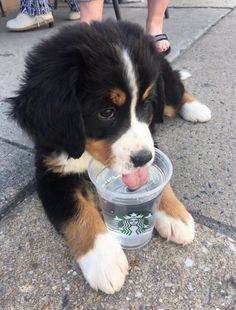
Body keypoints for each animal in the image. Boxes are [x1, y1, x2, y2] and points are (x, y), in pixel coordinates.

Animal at [8, 20, 212, 294]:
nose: (142, 158)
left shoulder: (152, 137)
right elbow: (76, 212)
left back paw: (196, 108)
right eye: (106, 112)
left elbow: (161, 181)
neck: (83, 148)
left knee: (177, 91)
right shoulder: (51, 173)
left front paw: (175, 215)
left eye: (146, 104)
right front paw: (104, 259)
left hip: (166, 86)